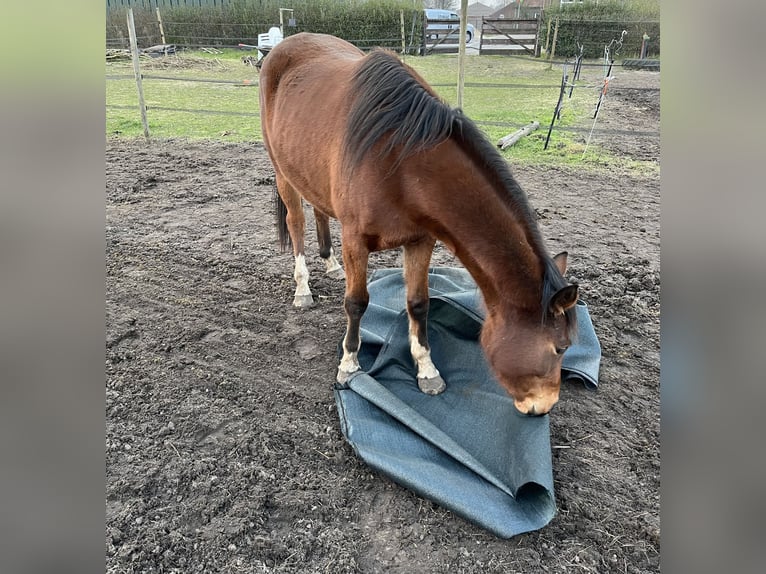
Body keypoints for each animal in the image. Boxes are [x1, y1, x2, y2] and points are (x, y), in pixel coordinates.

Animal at [260, 33, 580, 416]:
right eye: (560, 347)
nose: (543, 406)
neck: (400, 165)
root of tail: (283, 46)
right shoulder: (356, 240)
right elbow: (357, 302)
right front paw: (349, 364)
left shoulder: (420, 240)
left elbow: (418, 304)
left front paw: (427, 371)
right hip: (282, 172)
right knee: (296, 222)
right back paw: (303, 288)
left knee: (320, 209)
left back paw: (331, 263)